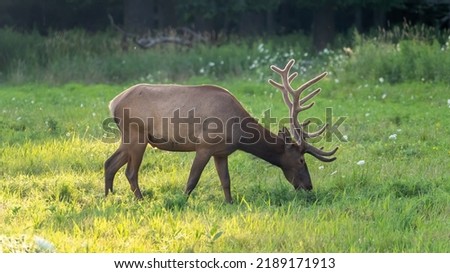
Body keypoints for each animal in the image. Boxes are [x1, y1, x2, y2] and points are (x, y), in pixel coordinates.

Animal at [104, 59, 338, 202]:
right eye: (301, 160)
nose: (309, 186)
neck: (239, 134)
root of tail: (113, 102)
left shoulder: (221, 152)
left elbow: (226, 180)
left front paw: (230, 202)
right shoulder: (204, 146)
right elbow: (192, 179)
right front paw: (182, 200)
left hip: (129, 138)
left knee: (109, 163)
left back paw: (108, 197)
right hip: (136, 134)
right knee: (130, 171)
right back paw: (140, 199)